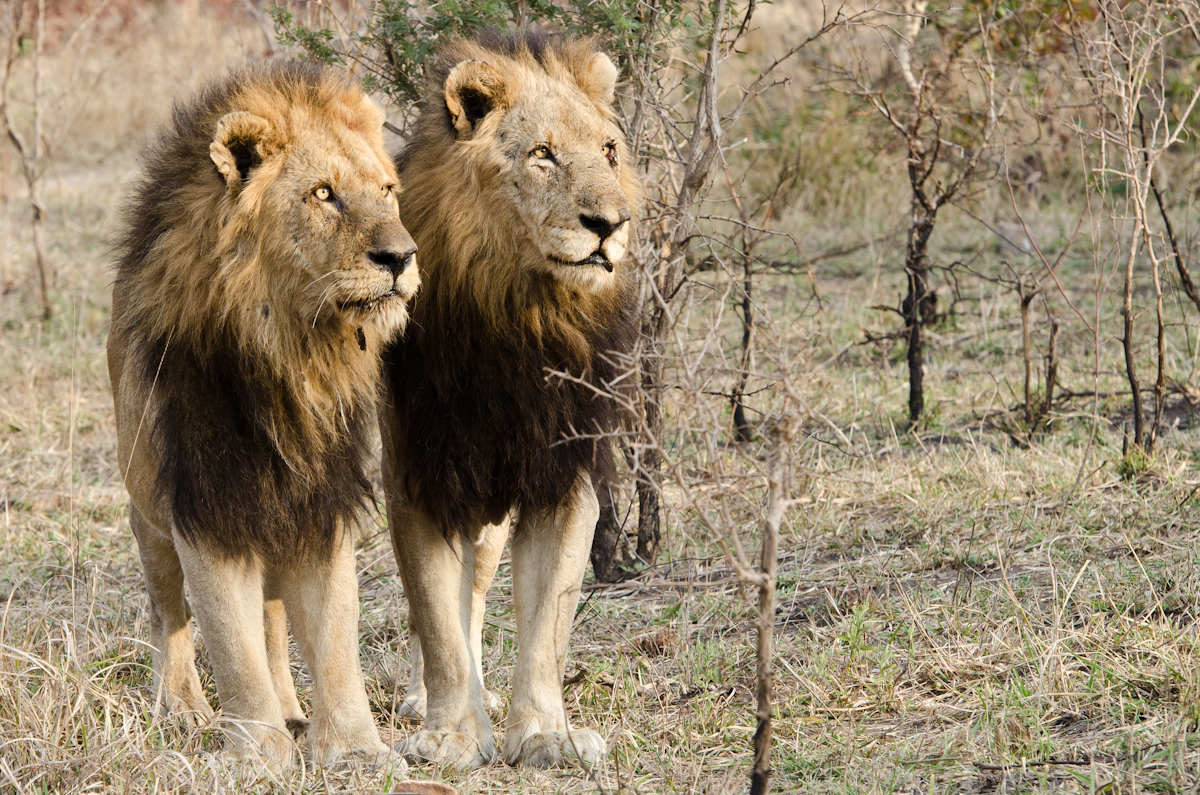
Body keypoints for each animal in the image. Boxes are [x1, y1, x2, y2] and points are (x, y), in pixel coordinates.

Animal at [109, 62, 417, 773]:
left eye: (387, 191)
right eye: (323, 194)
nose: (402, 257)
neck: (290, 358)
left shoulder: (320, 507)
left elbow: (333, 640)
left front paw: (355, 749)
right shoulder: (206, 509)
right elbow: (231, 644)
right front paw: (256, 755)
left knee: (275, 624)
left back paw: (293, 710)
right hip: (147, 511)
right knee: (170, 614)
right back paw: (184, 708)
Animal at [379, 31, 643, 773]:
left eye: (609, 152)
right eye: (542, 154)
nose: (610, 225)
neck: (521, 318)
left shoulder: (564, 476)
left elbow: (548, 617)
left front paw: (546, 734)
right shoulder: (420, 475)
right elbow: (436, 616)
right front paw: (450, 738)